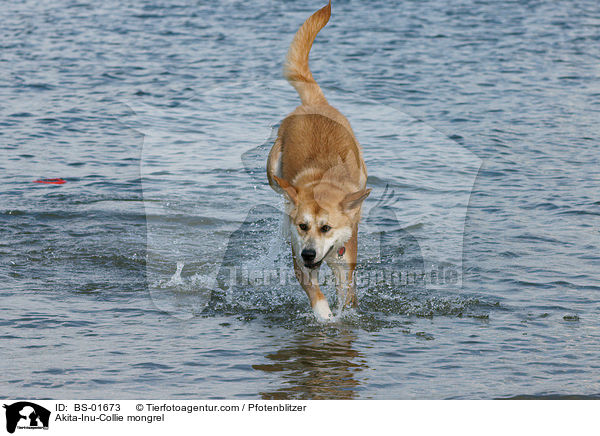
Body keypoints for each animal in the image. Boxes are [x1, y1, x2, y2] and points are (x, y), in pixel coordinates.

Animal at [268, 1, 370, 322]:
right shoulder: (299, 261)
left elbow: (346, 293)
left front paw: (341, 313)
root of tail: (316, 102)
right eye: (303, 226)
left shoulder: (345, 261)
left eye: (326, 228)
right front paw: (325, 316)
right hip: (271, 168)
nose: (309, 254)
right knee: (279, 188)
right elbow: (315, 292)